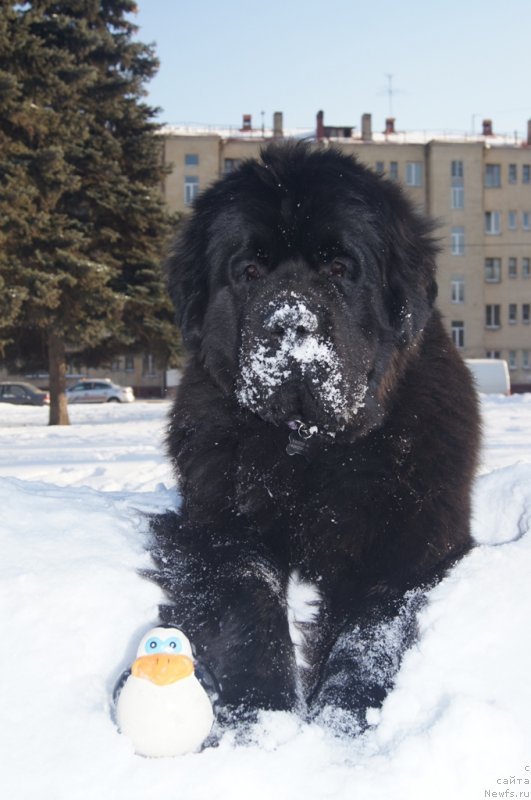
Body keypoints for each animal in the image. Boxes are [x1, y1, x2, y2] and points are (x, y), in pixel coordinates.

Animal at [151, 142, 482, 732]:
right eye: (249, 270)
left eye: (338, 268)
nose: (290, 322)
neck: (309, 448)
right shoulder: (218, 527)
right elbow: (249, 602)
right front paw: (265, 713)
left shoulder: (414, 539)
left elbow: (371, 629)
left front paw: (344, 718)